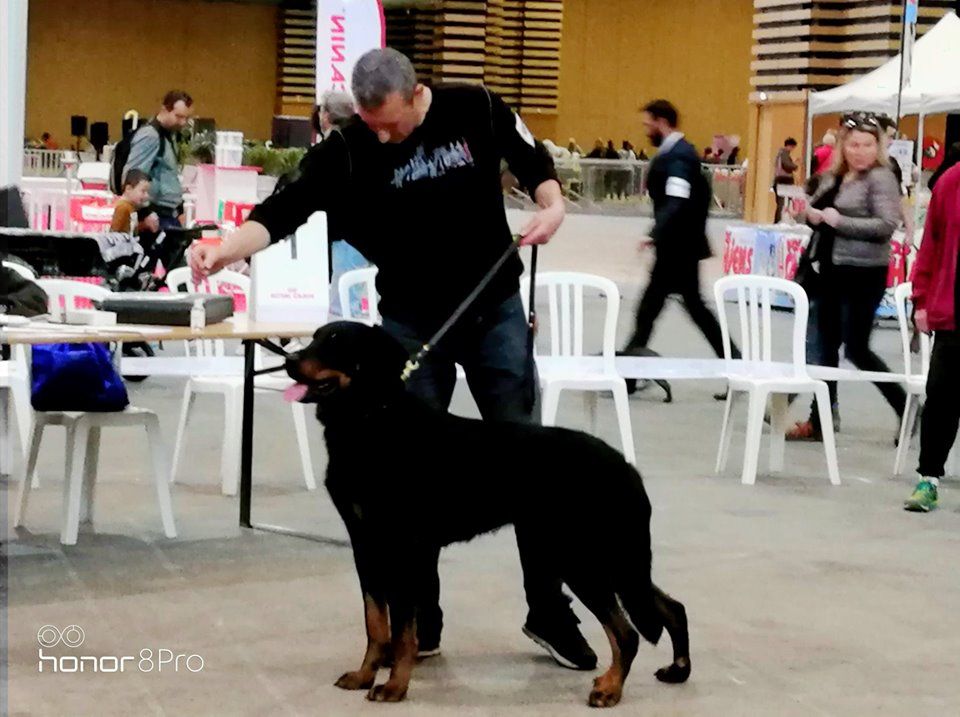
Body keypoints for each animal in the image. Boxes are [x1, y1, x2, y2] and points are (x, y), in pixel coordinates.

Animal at [284, 324, 688, 704]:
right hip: (609, 557)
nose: (289, 361)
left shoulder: (403, 547)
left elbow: (401, 631)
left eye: (336, 342)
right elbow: (375, 624)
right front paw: (364, 675)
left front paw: (395, 686)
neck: (371, 421)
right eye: (315, 337)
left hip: (582, 558)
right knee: (670, 607)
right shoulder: (365, 545)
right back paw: (677, 670)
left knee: (628, 632)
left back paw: (611, 688)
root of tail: (626, 467)